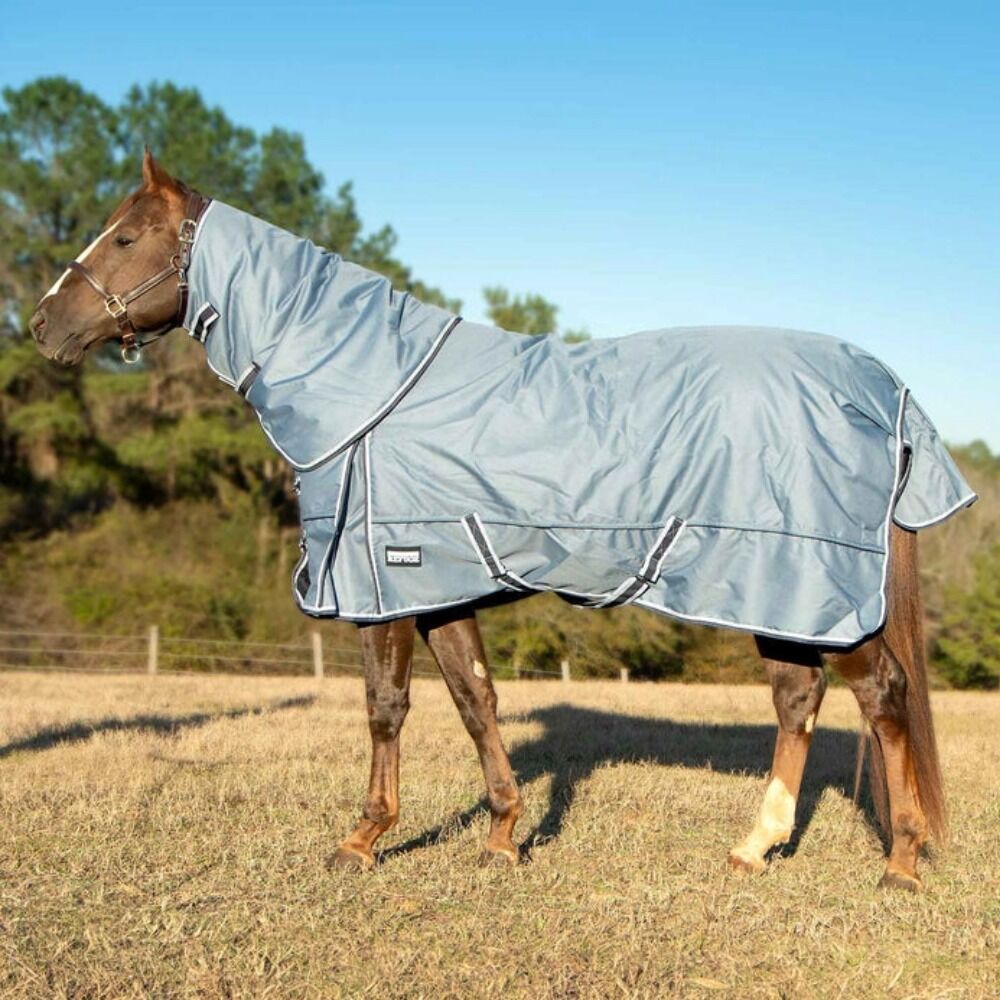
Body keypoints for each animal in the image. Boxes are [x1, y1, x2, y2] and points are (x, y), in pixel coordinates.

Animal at [28, 151, 972, 891]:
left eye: (123, 237)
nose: (42, 325)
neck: (371, 389)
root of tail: (885, 385)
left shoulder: (383, 581)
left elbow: (386, 706)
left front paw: (362, 840)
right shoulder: (442, 589)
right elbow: (475, 700)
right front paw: (502, 836)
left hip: (816, 587)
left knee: (882, 698)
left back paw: (899, 861)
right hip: (784, 596)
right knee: (798, 700)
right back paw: (753, 847)